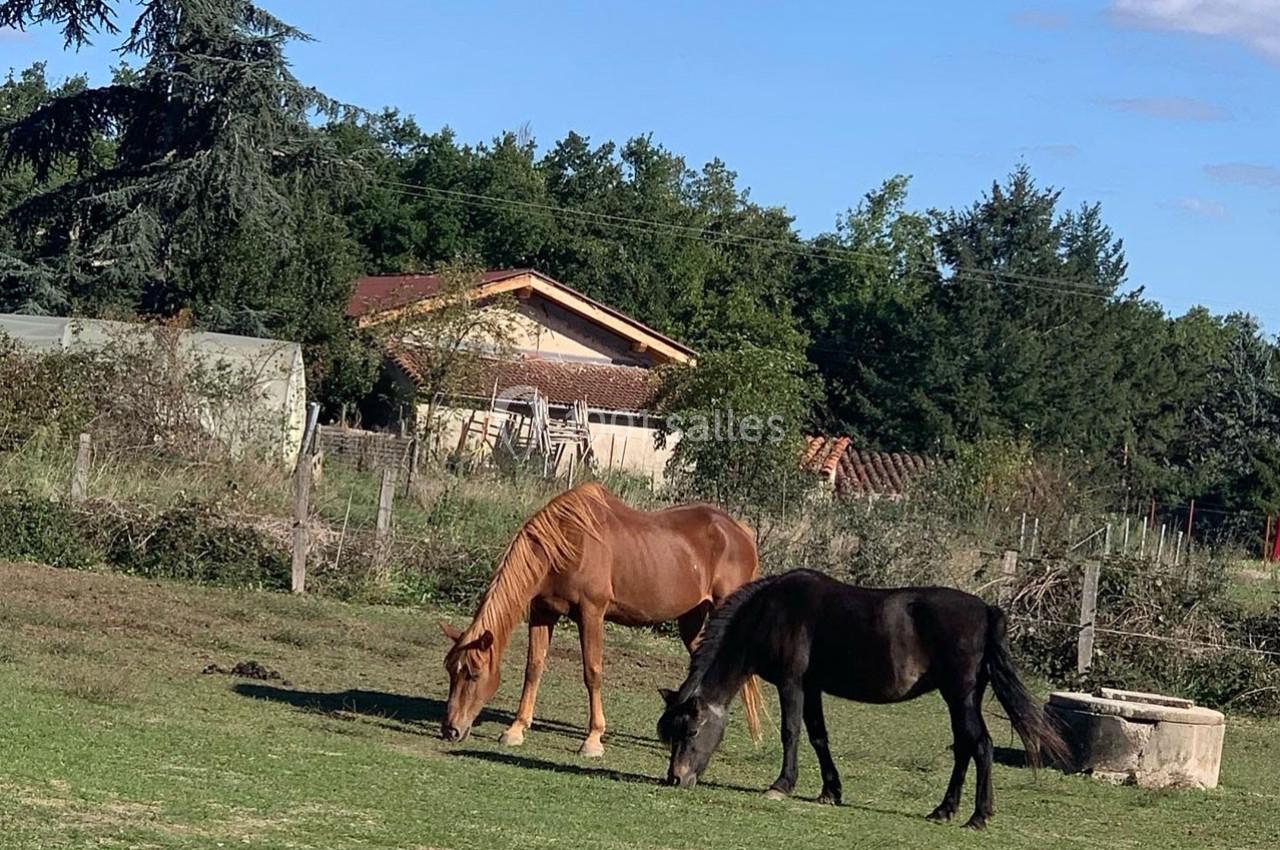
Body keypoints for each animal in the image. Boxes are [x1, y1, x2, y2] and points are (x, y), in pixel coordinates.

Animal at [439, 481, 763, 757]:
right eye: (451, 671)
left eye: (473, 674)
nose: (450, 730)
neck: (568, 542)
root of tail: (740, 531)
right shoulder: (543, 612)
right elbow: (534, 667)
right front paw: (516, 729)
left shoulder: (591, 613)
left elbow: (592, 672)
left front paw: (593, 739)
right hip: (692, 619)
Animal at [657, 569, 1069, 830]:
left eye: (690, 732)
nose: (676, 778)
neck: (772, 612)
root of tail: (986, 610)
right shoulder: (813, 687)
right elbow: (819, 737)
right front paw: (830, 791)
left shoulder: (793, 683)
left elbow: (791, 733)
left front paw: (781, 785)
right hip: (958, 699)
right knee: (965, 748)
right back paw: (943, 810)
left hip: (961, 696)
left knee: (980, 745)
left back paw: (978, 816)